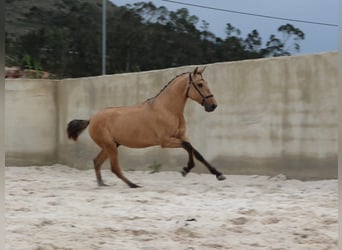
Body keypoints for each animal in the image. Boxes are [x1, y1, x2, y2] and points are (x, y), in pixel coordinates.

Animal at [68, 66, 226, 188]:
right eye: (200, 84)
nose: (213, 105)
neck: (167, 109)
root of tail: (91, 119)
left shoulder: (181, 136)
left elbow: (196, 152)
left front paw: (219, 174)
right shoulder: (166, 141)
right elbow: (187, 147)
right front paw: (186, 169)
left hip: (111, 145)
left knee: (97, 161)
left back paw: (102, 183)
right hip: (110, 146)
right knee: (114, 168)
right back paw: (133, 185)